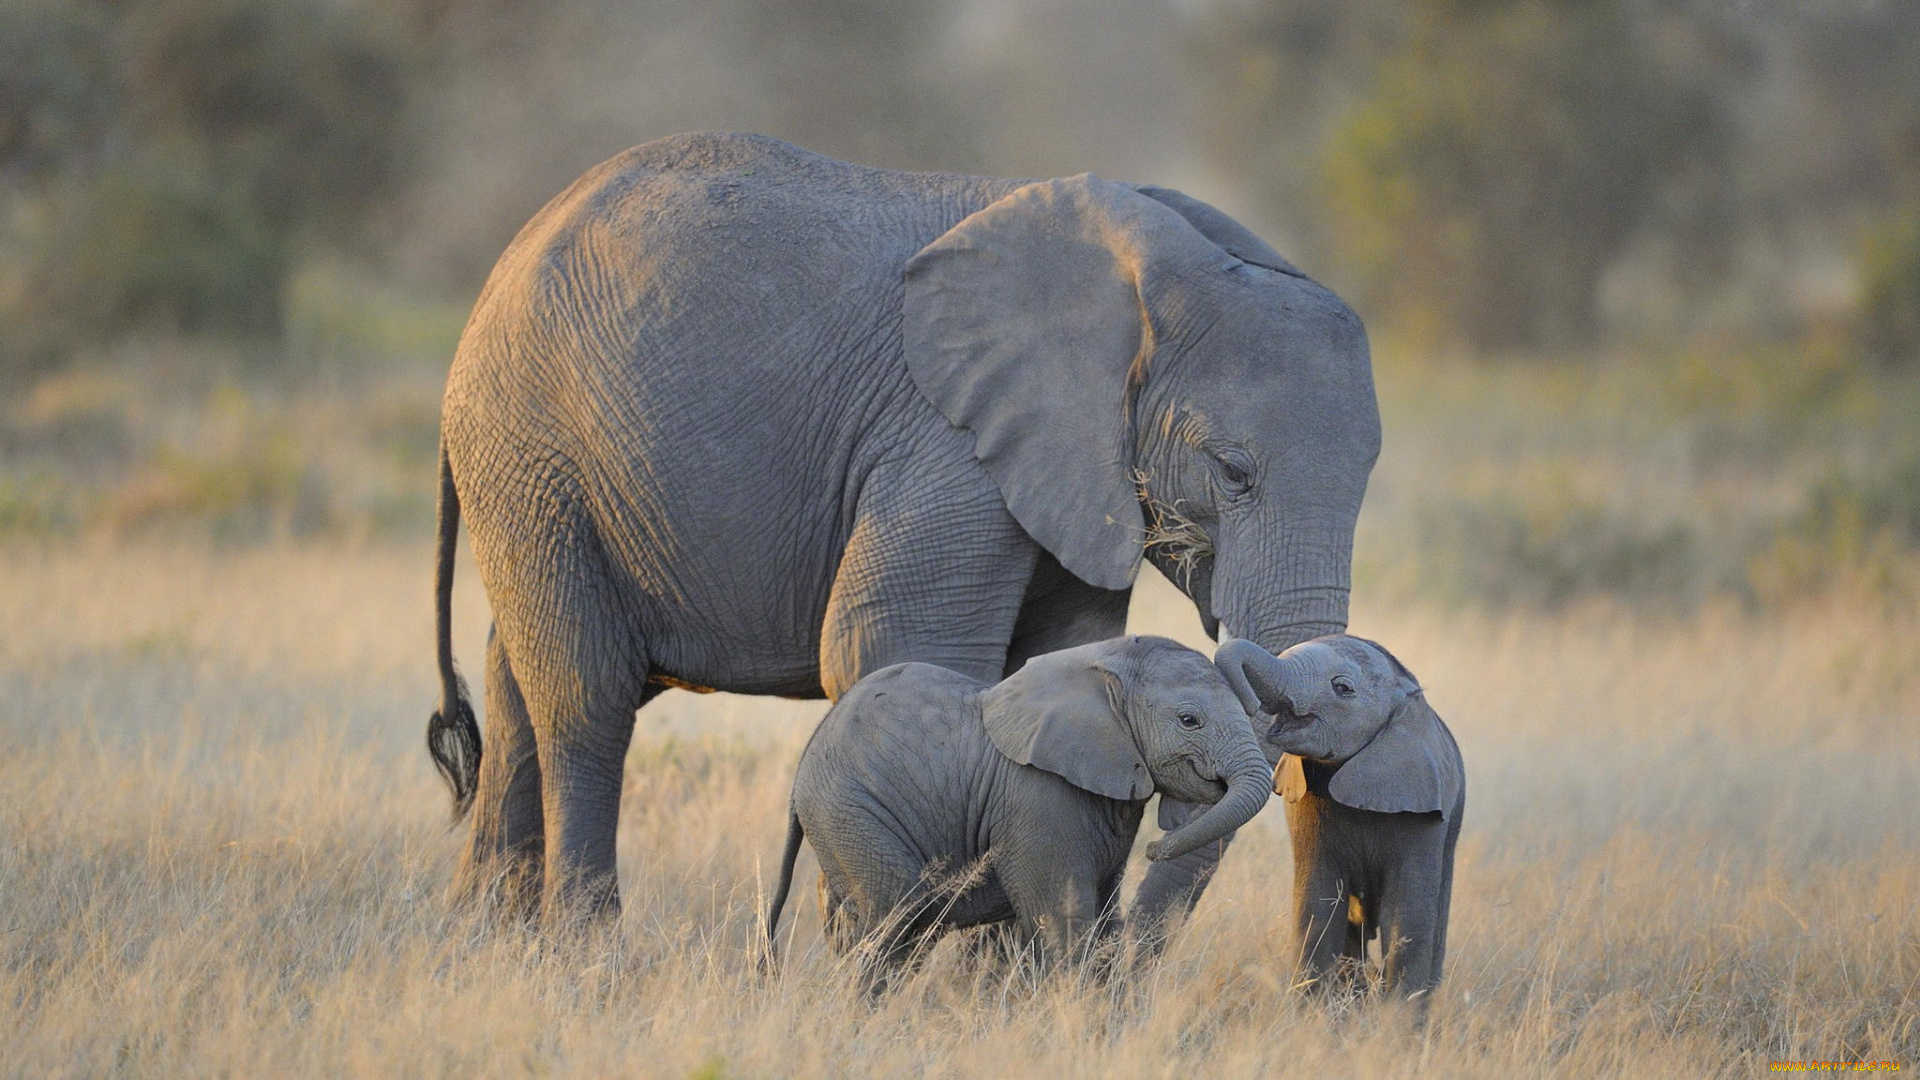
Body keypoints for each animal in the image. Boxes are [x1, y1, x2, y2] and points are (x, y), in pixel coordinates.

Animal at [426, 130, 1374, 922]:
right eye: (1234, 472)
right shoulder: (945, 442)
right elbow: (891, 645)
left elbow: (1055, 658)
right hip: (532, 451)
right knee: (584, 699)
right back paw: (586, 952)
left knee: (516, 686)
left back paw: (485, 942)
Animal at [764, 634, 1274, 980]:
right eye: (1189, 720)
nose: (1155, 849)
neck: (1103, 665)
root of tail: (806, 759)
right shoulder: (1038, 798)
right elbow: (1064, 920)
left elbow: (1105, 918)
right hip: (850, 811)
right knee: (897, 916)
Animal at [1213, 630, 1466, 999]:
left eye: (1342, 688)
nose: (1250, 705)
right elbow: (1317, 904)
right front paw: (1312, 1011)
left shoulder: (1425, 809)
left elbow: (1407, 915)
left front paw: (1397, 1016)